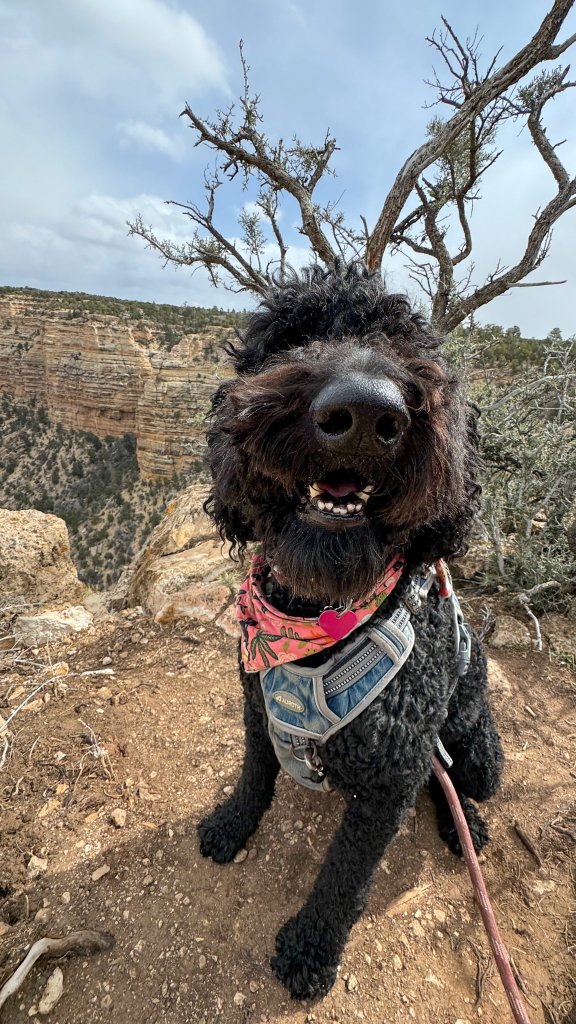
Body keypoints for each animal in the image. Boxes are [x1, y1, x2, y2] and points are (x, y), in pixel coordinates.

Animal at [196, 262, 502, 999]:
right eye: (293, 336)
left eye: (406, 344)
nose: (365, 413)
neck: (318, 625)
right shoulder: (255, 710)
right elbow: (254, 777)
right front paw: (231, 825)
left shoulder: (390, 782)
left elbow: (344, 878)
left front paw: (310, 950)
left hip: (479, 755)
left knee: (456, 786)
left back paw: (467, 826)